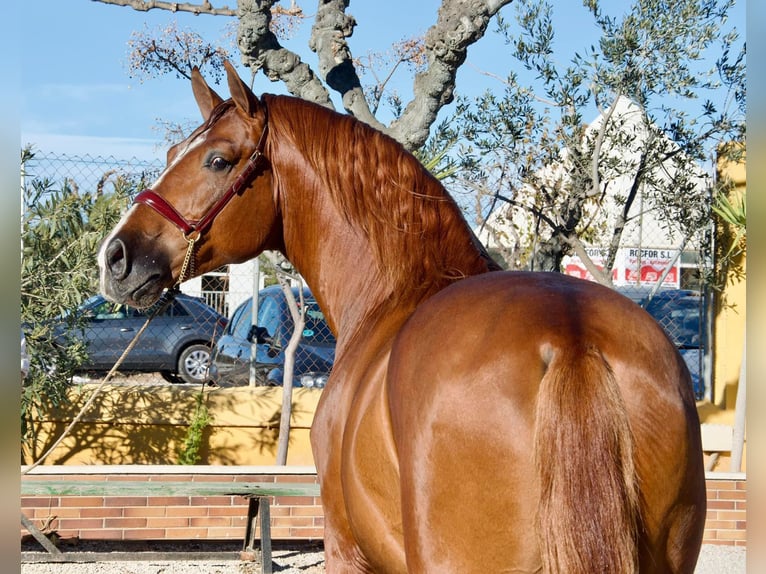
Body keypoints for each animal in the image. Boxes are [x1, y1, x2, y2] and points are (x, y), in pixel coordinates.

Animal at [99, 60, 704, 572]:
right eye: (175, 150)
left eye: (218, 160)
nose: (117, 256)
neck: (393, 293)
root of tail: (570, 337)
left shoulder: (348, 549)